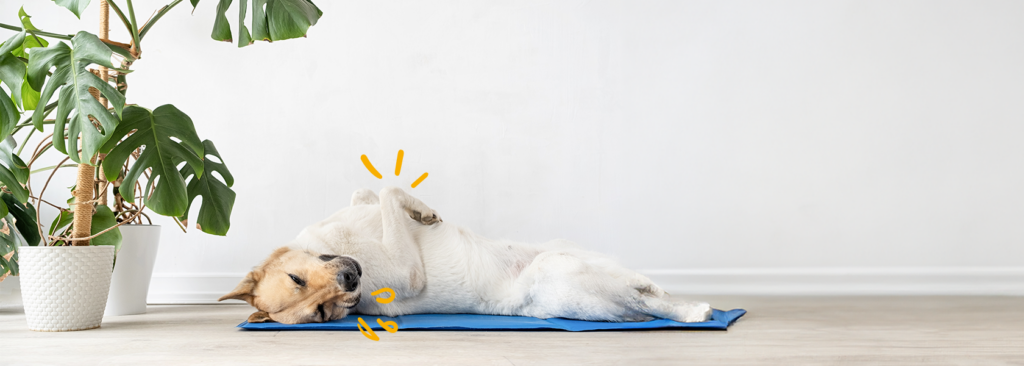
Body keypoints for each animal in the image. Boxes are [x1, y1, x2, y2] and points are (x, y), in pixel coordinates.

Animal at [219, 186, 708, 323]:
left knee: (646, 293)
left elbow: (369, 192)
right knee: (648, 302)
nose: (350, 282)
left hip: (568, 254)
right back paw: (694, 310)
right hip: (562, 275)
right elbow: (388, 189)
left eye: (296, 279)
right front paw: (421, 210)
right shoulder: (406, 273)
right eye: (320, 313)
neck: (329, 248)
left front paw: (419, 211)